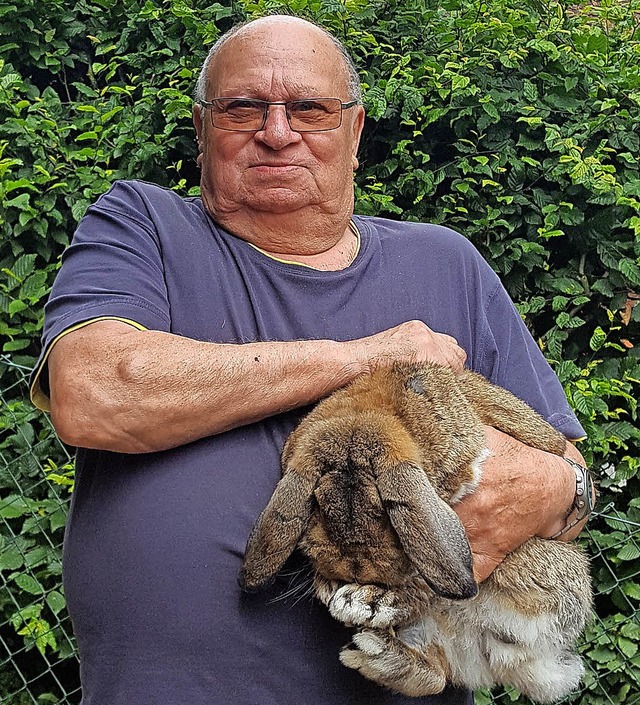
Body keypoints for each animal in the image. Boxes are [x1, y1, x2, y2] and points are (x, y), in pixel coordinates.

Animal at [240, 360, 596, 700]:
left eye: (384, 512)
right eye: (318, 509)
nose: (352, 575)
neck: (369, 410)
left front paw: (358, 596)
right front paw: (331, 587)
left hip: (531, 561)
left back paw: (368, 608)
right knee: (437, 674)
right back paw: (379, 654)